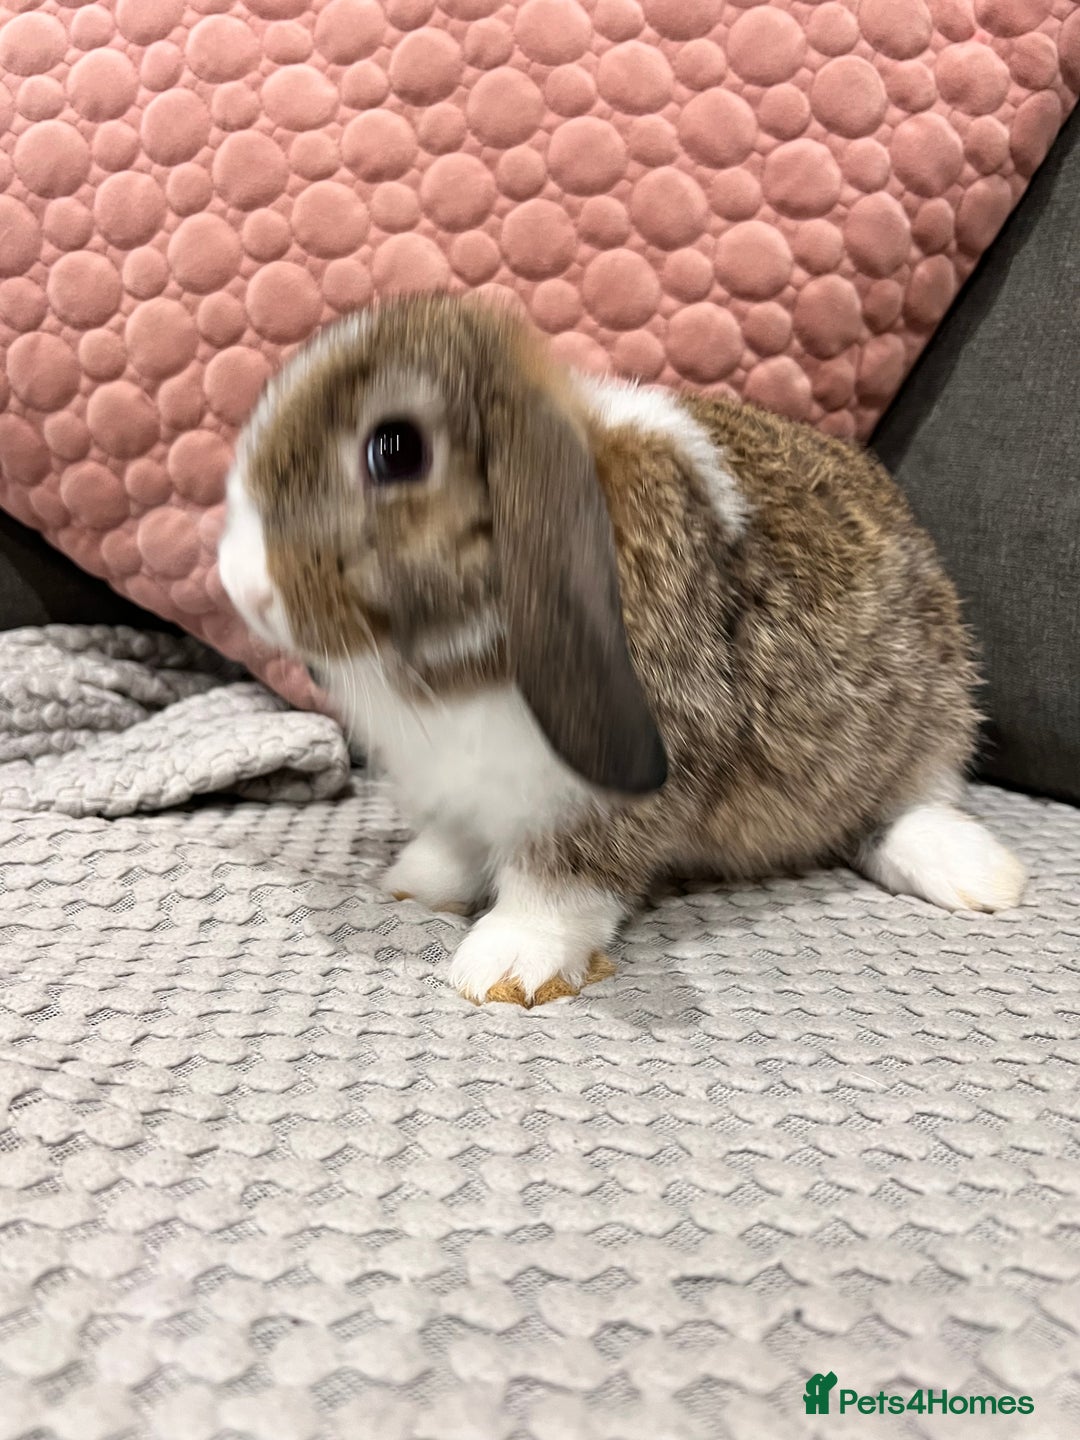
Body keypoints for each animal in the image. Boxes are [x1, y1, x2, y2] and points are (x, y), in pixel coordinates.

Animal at [217, 291, 1026, 1006]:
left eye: (395, 451)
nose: (241, 585)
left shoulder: (608, 786)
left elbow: (562, 880)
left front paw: (507, 964)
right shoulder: (466, 786)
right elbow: (457, 842)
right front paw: (416, 882)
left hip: (930, 720)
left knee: (906, 803)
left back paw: (980, 875)